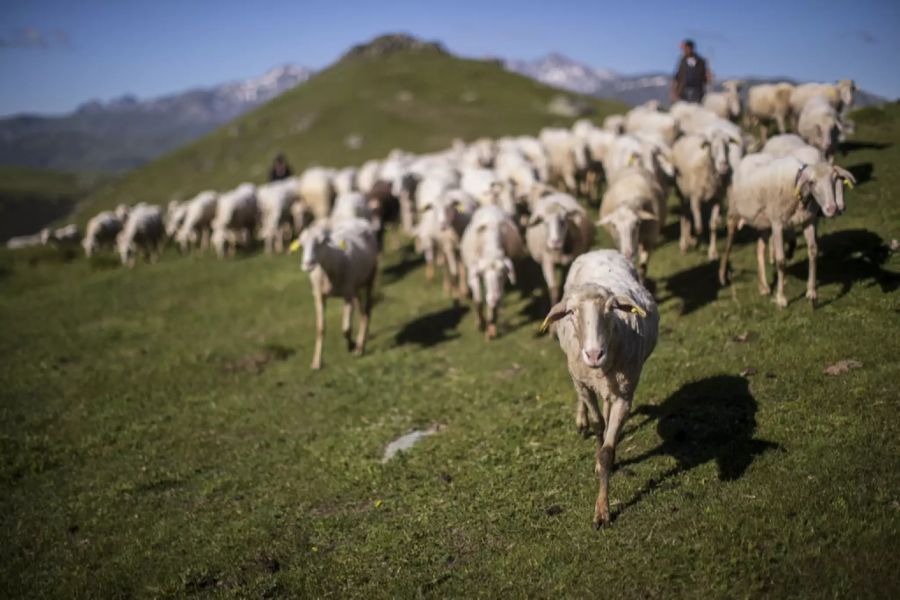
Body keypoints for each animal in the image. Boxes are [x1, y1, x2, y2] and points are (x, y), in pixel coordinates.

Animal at [536, 246, 656, 528]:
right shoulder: (584, 383)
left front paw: (602, 509)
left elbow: (607, 451)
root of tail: (599, 250)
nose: (593, 354)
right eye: (570, 312)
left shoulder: (625, 394)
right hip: (577, 374)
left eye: (612, 309)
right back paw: (581, 419)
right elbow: (598, 425)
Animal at [672, 126, 740, 258]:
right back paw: (684, 243)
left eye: (728, 146)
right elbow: (699, 227)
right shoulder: (695, 199)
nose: (724, 166)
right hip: (682, 193)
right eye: (712, 146)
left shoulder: (717, 200)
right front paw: (700, 244)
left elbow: (713, 225)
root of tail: (686, 137)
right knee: (683, 215)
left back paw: (689, 240)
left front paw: (712, 252)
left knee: (687, 215)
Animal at [716, 155, 856, 308]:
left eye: (835, 179)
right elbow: (781, 260)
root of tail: (748, 157)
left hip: (764, 221)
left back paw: (764, 287)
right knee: (728, 246)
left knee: (760, 249)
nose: (832, 209)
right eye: (812, 182)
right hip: (734, 214)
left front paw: (812, 294)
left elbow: (813, 252)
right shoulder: (777, 224)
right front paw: (781, 298)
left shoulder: (808, 221)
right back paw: (722, 276)